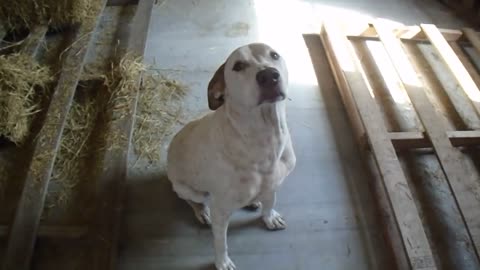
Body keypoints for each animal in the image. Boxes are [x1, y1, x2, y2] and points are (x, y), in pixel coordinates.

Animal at [168, 43, 296, 268]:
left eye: (274, 55)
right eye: (238, 66)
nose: (269, 75)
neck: (265, 138)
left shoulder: (274, 184)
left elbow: (270, 202)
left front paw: (269, 217)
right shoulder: (220, 211)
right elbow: (221, 242)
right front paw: (222, 262)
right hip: (187, 188)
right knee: (193, 200)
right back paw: (202, 212)